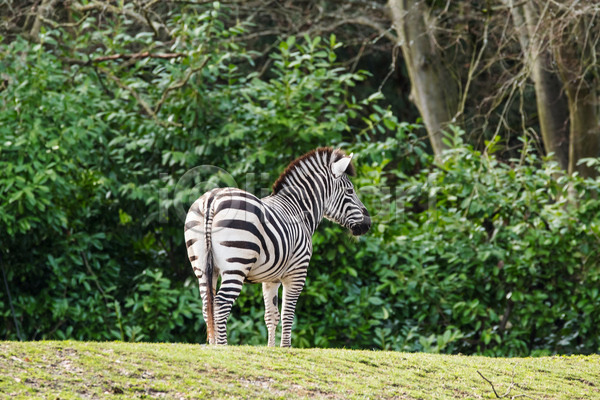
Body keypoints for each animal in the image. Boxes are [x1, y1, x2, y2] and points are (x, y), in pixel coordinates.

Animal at [184, 147, 370, 346]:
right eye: (350, 191)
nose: (368, 223)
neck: (298, 209)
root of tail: (212, 198)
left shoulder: (270, 279)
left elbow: (271, 316)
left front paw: (271, 348)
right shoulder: (297, 273)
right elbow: (288, 314)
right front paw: (286, 347)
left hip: (202, 266)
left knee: (207, 306)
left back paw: (212, 346)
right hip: (236, 264)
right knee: (221, 304)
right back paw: (223, 347)